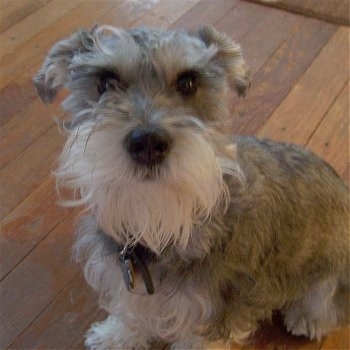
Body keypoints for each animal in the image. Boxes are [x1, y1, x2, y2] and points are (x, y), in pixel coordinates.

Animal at [34, 26, 348, 348]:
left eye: (187, 82)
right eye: (105, 82)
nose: (147, 143)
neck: (157, 226)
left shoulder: (214, 311)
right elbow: (131, 311)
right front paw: (115, 337)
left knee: (327, 299)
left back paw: (307, 318)